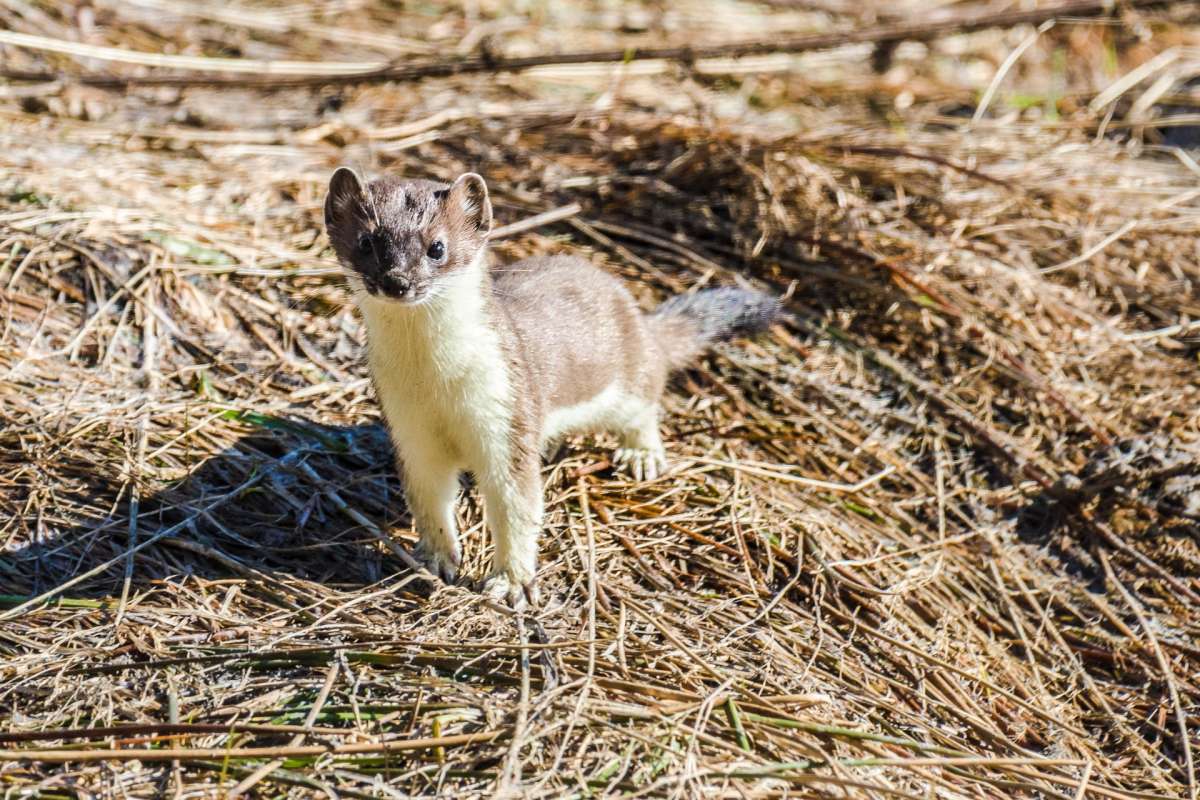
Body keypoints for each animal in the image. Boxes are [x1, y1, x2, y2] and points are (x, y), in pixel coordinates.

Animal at [324, 167, 782, 606]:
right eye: (366, 241)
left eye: (437, 247)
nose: (396, 281)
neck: (436, 385)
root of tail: (634, 310)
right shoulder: (407, 427)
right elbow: (428, 496)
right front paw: (435, 559)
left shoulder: (508, 415)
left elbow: (517, 506)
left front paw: (510, 582)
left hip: (629, 375)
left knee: (646, 401)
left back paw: (641, 455)